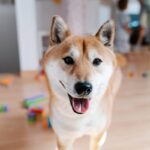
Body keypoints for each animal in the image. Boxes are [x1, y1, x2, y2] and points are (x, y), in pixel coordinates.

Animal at [42, 15, 120, 150]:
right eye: (68, 59)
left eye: (97, 61)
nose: (84, 87)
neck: (80, 118)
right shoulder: (64, 139)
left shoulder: (96, 137)